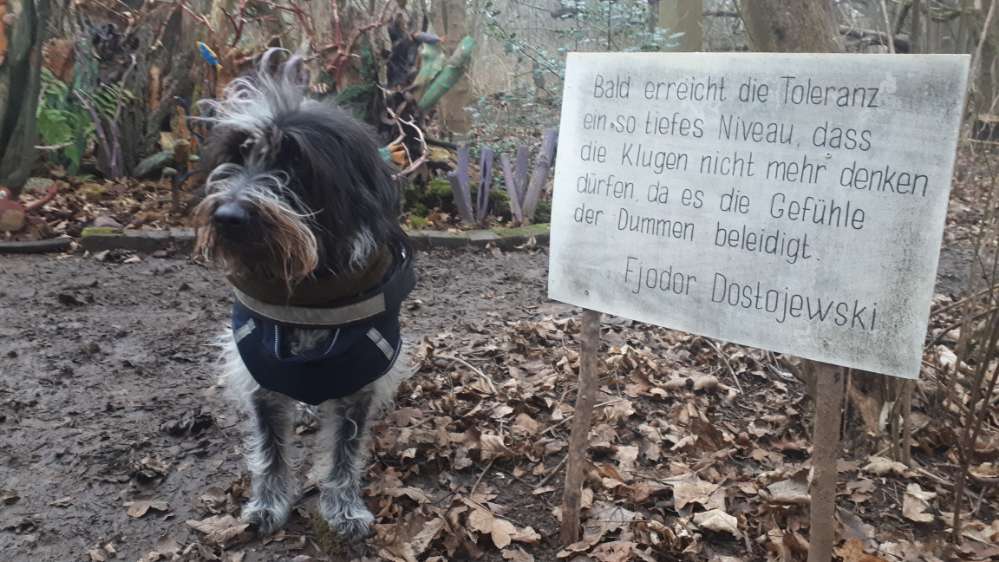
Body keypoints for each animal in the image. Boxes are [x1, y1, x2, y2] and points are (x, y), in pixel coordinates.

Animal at [195, 51, 414, 540]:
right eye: (237, 154)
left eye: (296, 165)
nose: (228, 215)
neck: (309, 294)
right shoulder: (257, 379)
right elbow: (269, 448)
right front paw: (268, 503)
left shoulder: (361, 385)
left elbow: (345, 452)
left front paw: (344, 508)